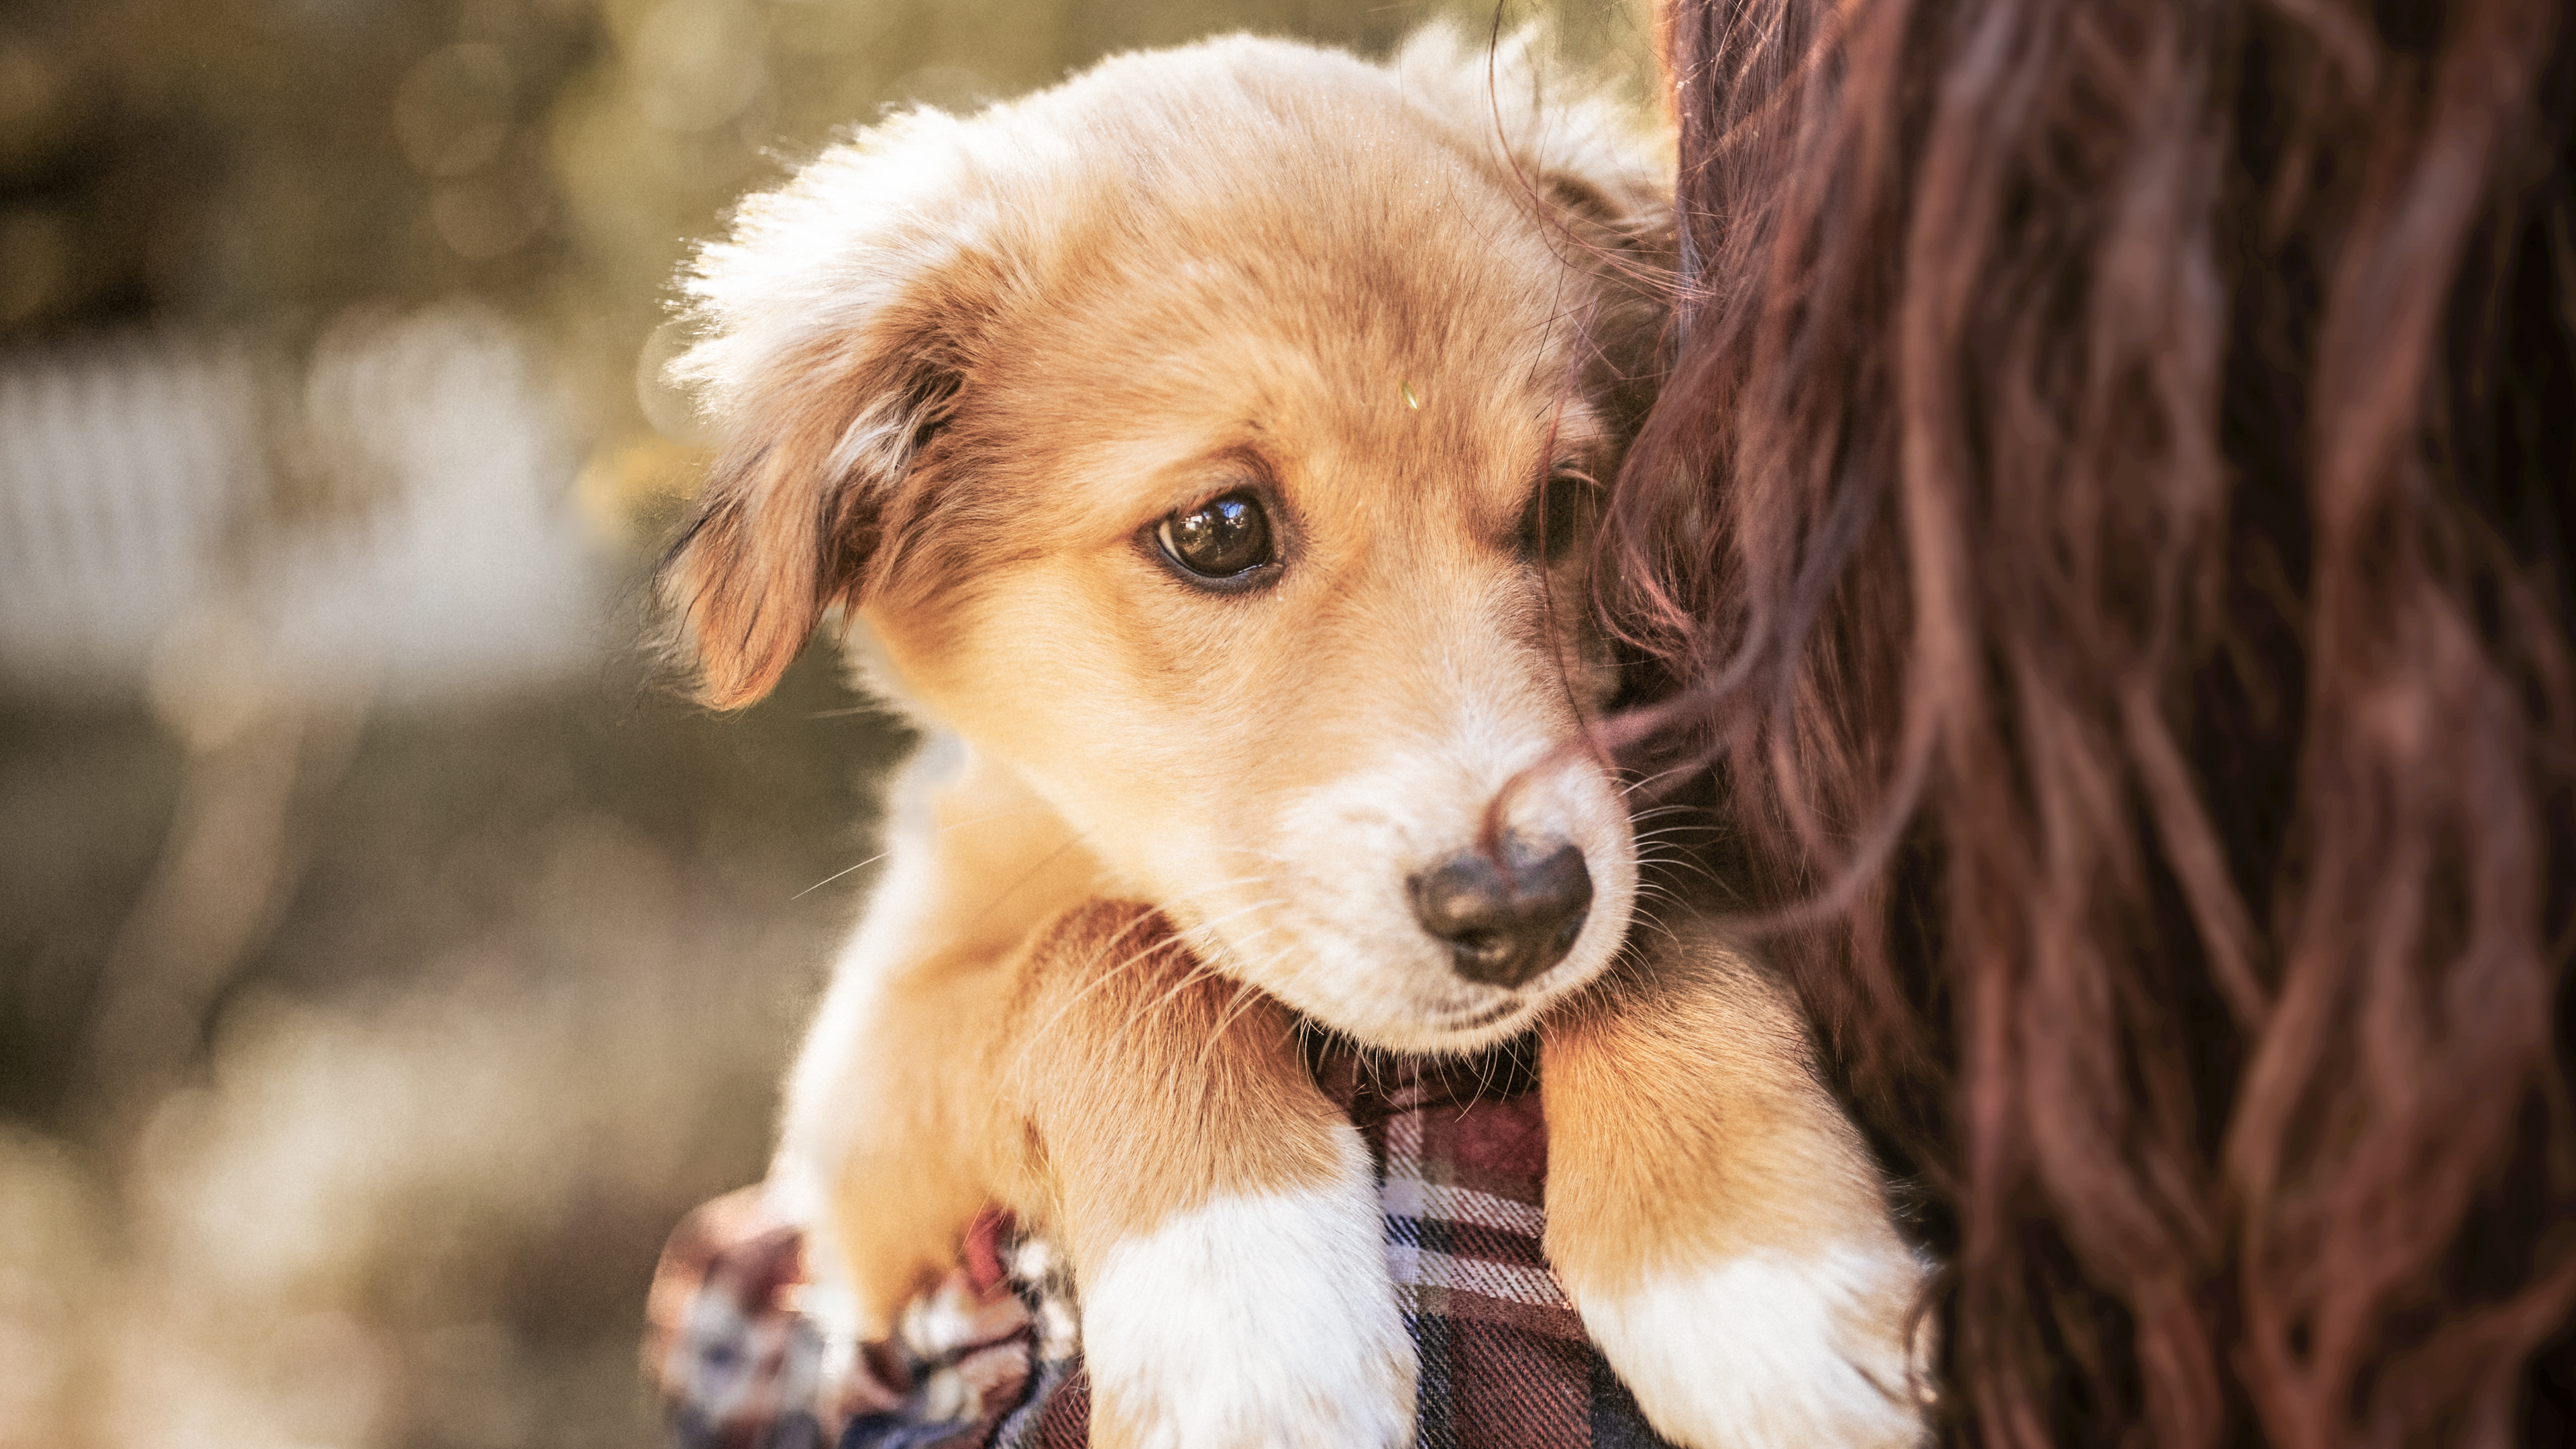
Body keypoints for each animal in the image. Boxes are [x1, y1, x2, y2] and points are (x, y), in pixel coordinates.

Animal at [664, 25, 1937, 1444]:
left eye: (1565, 506)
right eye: (1218, 530)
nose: (1519, 916)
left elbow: (1647, 917)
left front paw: (1754, 1277)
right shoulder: (864, 1116)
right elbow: (1102, 951)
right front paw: (1248, 1329)